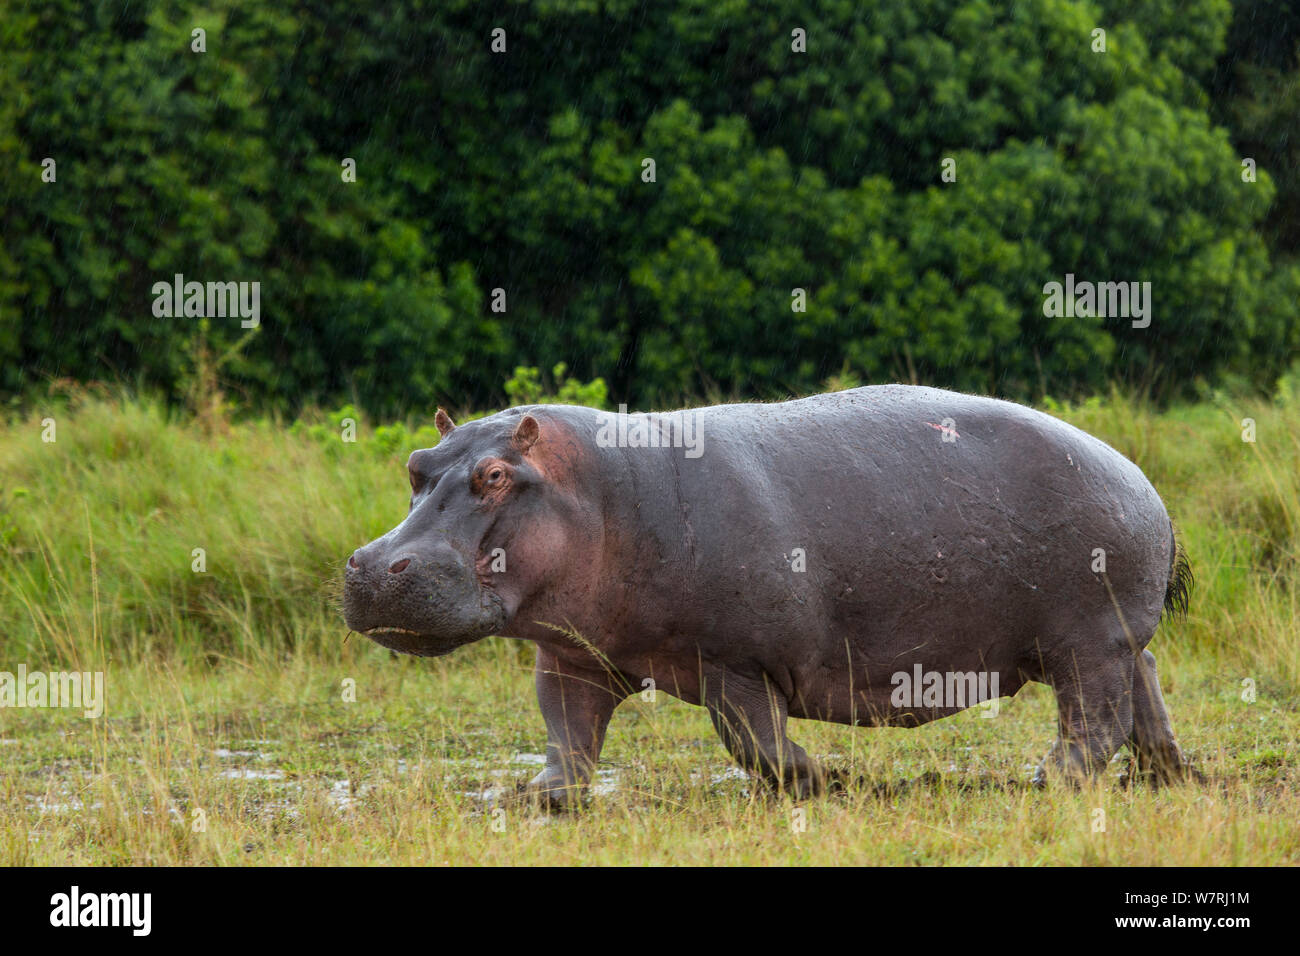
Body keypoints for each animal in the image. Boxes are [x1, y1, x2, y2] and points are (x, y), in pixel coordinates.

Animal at [340, 385, 1190, 806]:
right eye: (415, 465)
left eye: (494, 476)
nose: (374, 565)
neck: (599, 491)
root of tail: (1139, 474)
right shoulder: (573, 656)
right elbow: (566, 734)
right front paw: (531, 796)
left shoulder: (736, 662)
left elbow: (756, 743)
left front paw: (832, 783)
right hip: (1114, 636)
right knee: (1144, 690)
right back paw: (1168, 775)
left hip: (1086, 638)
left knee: (1095, 717)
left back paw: (1051, 781)